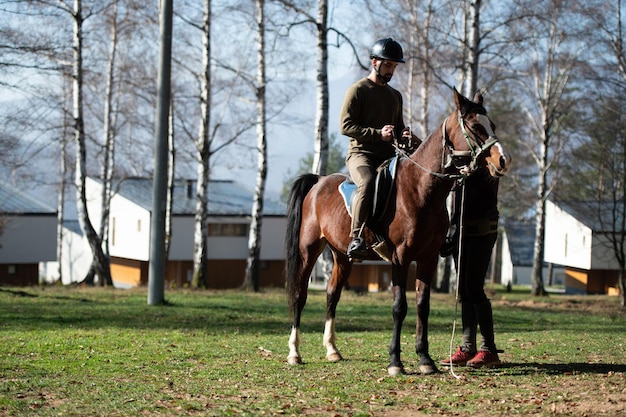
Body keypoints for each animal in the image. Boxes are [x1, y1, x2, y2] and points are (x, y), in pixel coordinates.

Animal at [286, 88, 510, 374]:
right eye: (474, 126)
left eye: (491, 125)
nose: (503, 160)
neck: (419, 189)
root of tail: (318, 182)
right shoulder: (400, 258)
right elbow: (399, 307)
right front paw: (395, 362)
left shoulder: (427, 259)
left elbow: (422, 306)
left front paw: (425, 359)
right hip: (308, 250)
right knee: (300, 294)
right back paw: (294, 352)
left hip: (342, 256)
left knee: (331, 295)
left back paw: (332, 350)